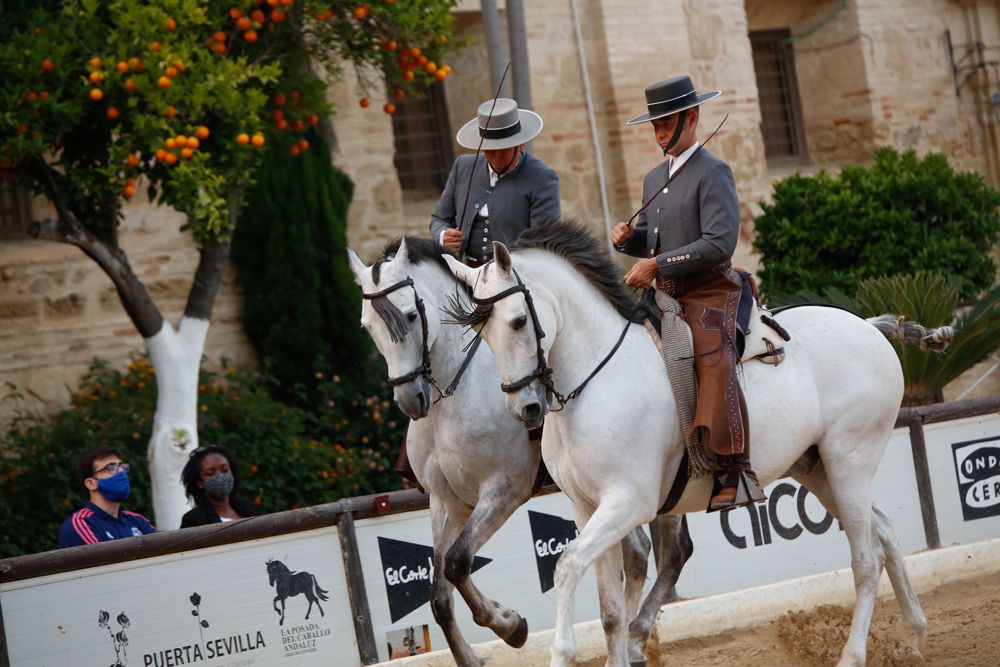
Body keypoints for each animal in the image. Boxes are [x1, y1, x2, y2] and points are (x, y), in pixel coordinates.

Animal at [346, 237, 688, 664]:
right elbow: (440, 591)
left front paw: (509, 626)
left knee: (672, 553)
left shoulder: (504, 489)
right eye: (367, 327)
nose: (411, 400)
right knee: (643, 552)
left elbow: (458, 562)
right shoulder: (446, 501)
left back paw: (637, 637)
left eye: (410, 316)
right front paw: (471, 655)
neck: (455, 393)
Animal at [446, 222, 944, 664]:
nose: (525, 408)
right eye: (481, 333)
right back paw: (915, 637)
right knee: (883, 530)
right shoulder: (586, 508)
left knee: (866, 557)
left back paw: (854, 655)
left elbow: (568, 566)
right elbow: (609, 612)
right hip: (818, 469)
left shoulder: (628, 503)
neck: (595, 377)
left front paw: (562, 650)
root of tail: (868, 326)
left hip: (848, 462)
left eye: (517, 322)